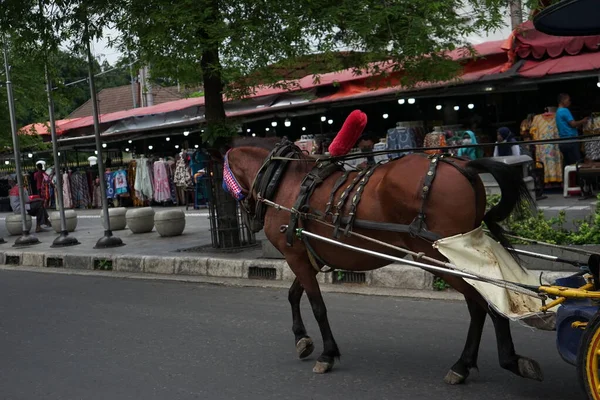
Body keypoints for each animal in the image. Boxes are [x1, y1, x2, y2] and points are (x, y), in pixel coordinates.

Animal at [223, 138, 540, 384]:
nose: (249, 216)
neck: (283, 182)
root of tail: (464, 166)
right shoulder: (307, 256)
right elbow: (293, 295)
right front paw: (302, 339)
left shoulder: (295, 257)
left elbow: (317, 306)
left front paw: (327, 353)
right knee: (480, 304)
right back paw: (469, 364)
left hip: (441, 257)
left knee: (483, 303)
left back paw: (496, 361)